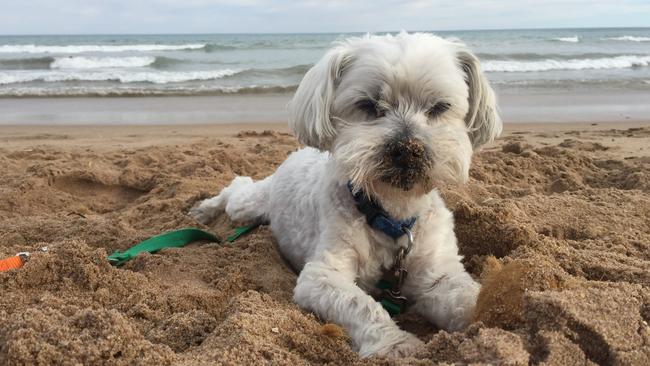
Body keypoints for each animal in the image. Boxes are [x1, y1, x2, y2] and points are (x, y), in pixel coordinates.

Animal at [189, 31, 502, 358]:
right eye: (368, 105)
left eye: (439, 107)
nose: (407, 148)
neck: (390, 214)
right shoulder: (321, 276)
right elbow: (360, 303)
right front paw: (396, 343)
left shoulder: (435, 275)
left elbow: (464, 295)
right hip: (247, 205)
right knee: (237, 187)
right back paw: (205, 208)